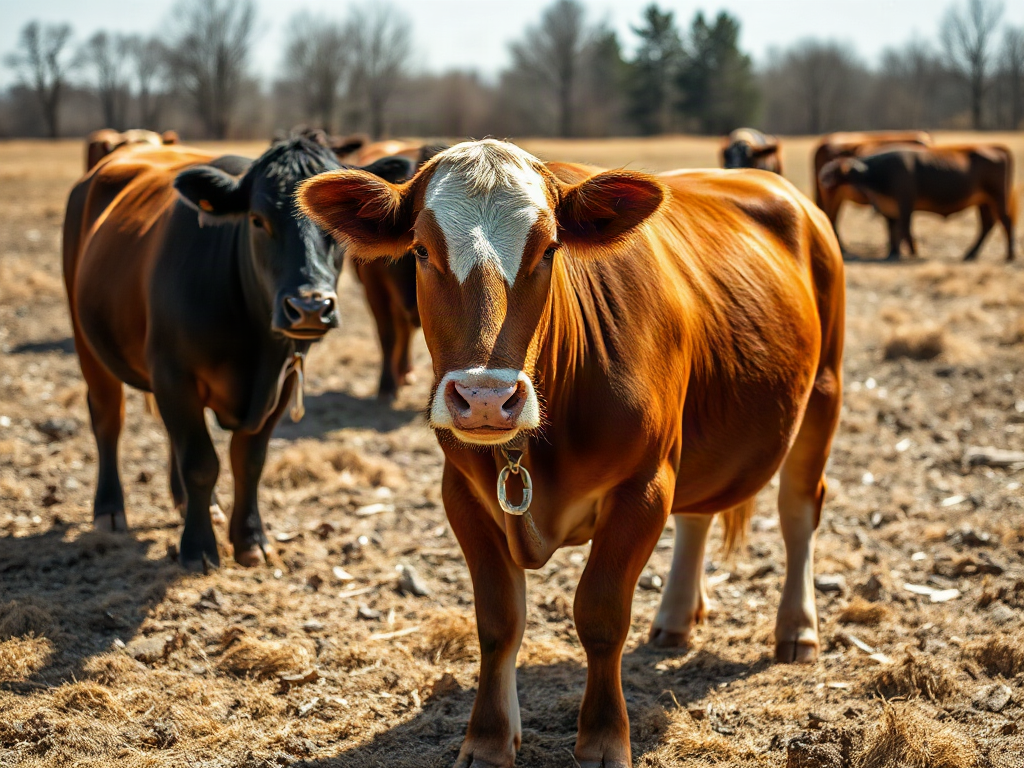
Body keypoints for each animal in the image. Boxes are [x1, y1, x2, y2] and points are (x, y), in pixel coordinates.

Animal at [63, 134, 414, 571]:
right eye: (258, 220)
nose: (310, 306)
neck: (255, 343)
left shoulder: (282, 381)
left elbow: (248, 461)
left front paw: (250, 539)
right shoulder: (174, 373)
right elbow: (200, 462)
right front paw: (198, 547)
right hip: (87, 341)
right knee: (108, 419)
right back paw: (110, 510)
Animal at [298, 139, 845, 768]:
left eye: (549, 248)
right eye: (420, 250)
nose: (485, 397)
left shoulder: (644, 484)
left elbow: (601, 616)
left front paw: (603, 738)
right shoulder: (461, 492)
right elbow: (498, 620)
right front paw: (489, 738)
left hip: (823, 393)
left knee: (798, 510)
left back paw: (796, 629)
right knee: (698, 518)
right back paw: (676, 619)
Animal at [819, 143, 1016, 261]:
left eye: (835, 171)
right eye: (829, 167)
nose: (822, 177)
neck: (879, 173)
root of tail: (997, 150)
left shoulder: (905, 204)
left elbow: (904, 229)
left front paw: (913, 252)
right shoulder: (889, 208)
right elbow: (892, 230)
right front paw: (893, 252)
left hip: (997, 198)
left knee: (1006, 221)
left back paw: (1009, 254)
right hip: (984, 202)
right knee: (987, 225)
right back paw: (970, 254)